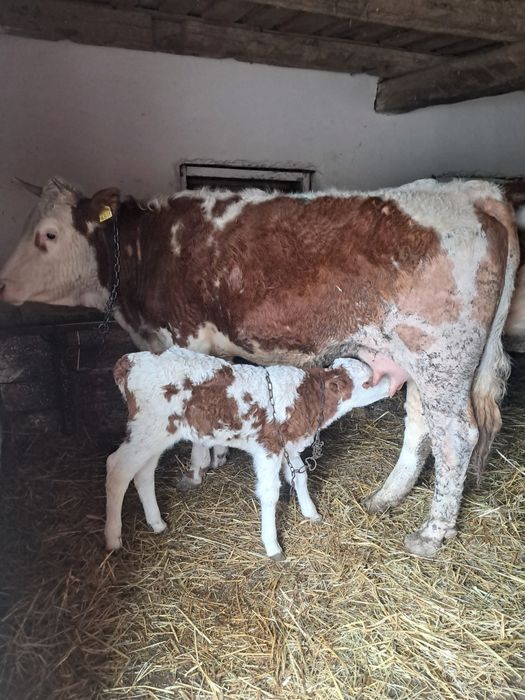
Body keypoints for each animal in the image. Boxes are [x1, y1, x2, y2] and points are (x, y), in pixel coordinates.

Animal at [106, 348, 391, 558]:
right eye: (368, 381)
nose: (392, 383)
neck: (304, 399)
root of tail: (130, 361)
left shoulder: (287, 445)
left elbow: (300, 477)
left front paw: (311, 513)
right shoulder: (268, 448)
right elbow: (270, 493)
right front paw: (273, 546)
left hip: (156, 435)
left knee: (143, 473)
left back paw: (157, 523)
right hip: (147, 429)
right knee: (117, 469)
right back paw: (113, 538)